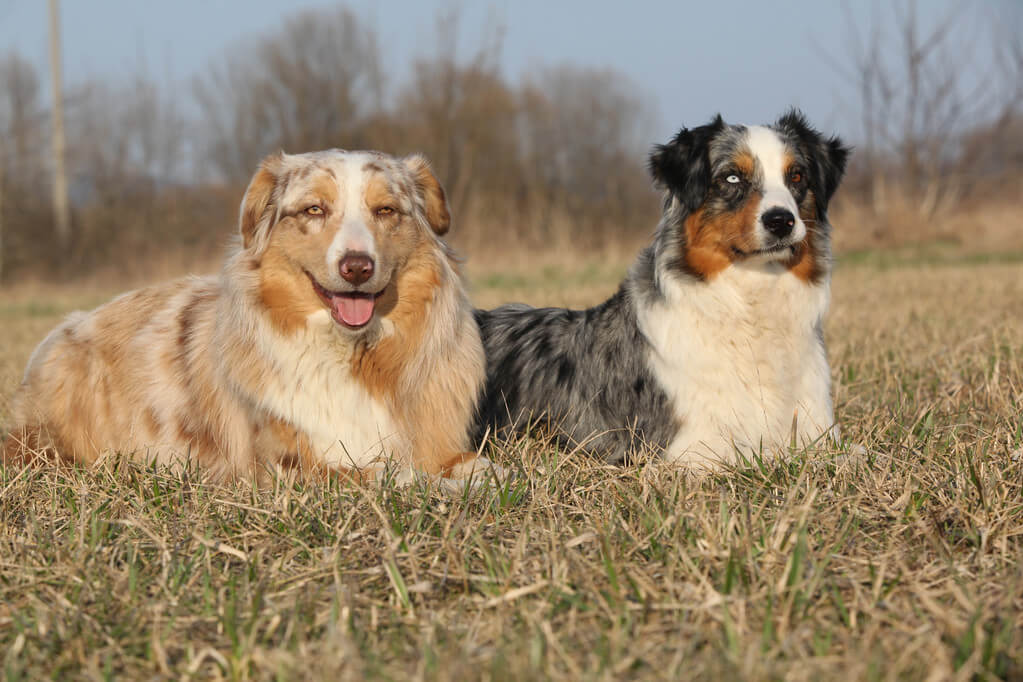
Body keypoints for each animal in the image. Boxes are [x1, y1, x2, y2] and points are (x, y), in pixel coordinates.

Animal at [3, 150, 491, 482]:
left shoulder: (438, 443)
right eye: (314, 209)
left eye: (386, 210)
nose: (357, 266)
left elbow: (479, 467)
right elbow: (397, 476)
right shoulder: (293, 468)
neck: (352, 355)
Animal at [474, 110, 851, 470]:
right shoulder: (684, 446)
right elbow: (770, 454)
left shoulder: (818, 430)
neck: (752, 298)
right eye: (731, 178)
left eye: (797, 176)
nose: (781, 221)